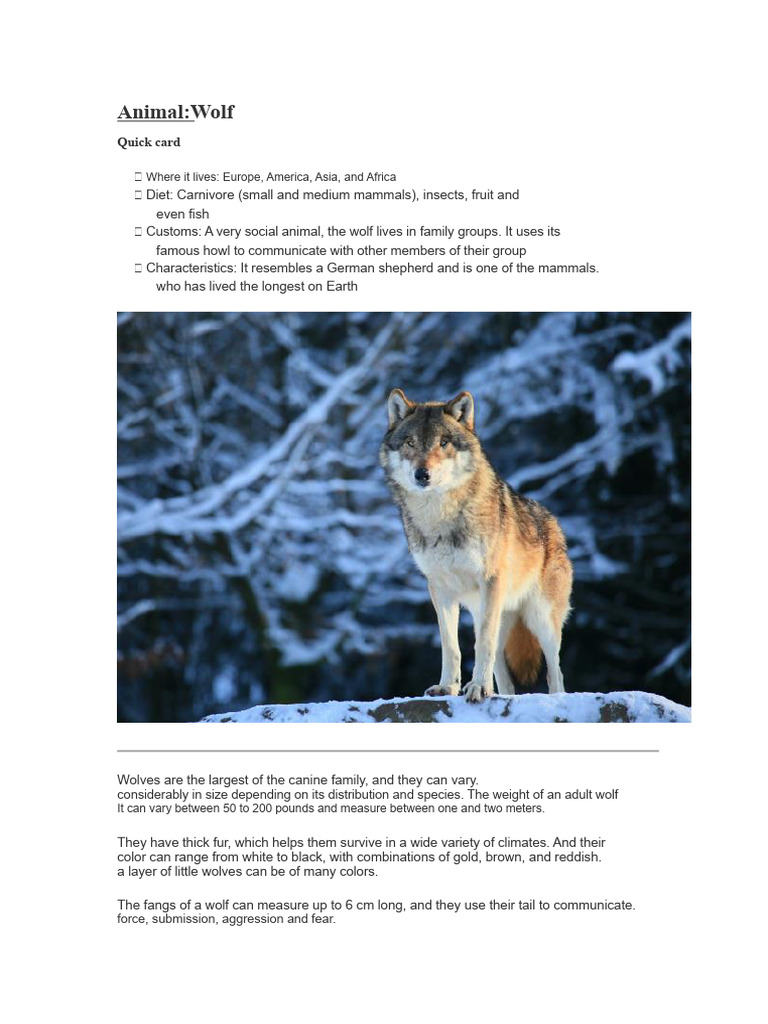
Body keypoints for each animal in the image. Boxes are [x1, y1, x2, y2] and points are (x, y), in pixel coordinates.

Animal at [380, 388, 573, 702]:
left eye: (443, 442)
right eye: (410, 443)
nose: (423, 474)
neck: (440, 517)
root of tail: (554, 523)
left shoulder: (490, 581)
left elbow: (482, 643)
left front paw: (478, 687)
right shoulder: (439, 588)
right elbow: (451, 646)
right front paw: (448, 686)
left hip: (541, 619)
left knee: (554, 671)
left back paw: (554, 699)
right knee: (505, 677)